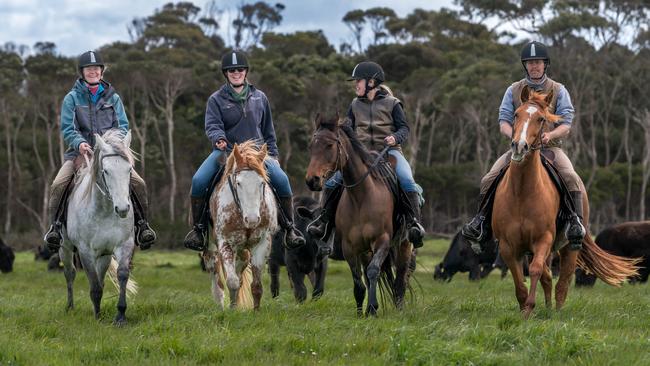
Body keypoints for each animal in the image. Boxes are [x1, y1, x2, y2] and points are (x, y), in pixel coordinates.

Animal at [61, 129, 137, 326]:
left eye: (129, 169)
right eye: (106, 171)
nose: (123, 209)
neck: (104, 211)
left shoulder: (124, 244)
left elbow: (121, 275)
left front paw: (120, 316)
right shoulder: (85, 251)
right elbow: (94, 285)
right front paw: (97, 317)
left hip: (104, 254)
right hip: (65, 248)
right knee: (69, 273)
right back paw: (70, 308)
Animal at [202, 140, 278, 308]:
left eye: (262, 183)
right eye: (238, 183)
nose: (252, 219)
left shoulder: (262, 243)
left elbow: (256, 286)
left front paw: (256, 311)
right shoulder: (225, 243)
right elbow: (232, 282)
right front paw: (232, 309)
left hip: (242, 250)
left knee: (241, 268)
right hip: (212, 247)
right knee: (215, 272)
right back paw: (221, 304)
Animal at [304, 116, 410, 316]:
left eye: (329, 145)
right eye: (311, 146)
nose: (312, 180)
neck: (361, 196)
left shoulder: (382, 240)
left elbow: (374, 271)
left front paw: (373, 308)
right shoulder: (350, 247)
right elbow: (359, 282)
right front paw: (362, 312)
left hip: (404, 246)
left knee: (400, 277)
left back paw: (399, 307)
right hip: (365, 251)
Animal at [492, 88, 636, 318]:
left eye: (541, 118)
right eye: (516, 114)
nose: (519, 146)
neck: (522, 192)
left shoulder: (543, 239)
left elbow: (535, 270)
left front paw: (530, 306)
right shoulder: (508, 246)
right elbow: (520, 279)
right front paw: (525, 309)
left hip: (570, 246)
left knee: (564, 279)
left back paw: (557, 311)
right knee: (548, 276)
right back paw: (548, 307)